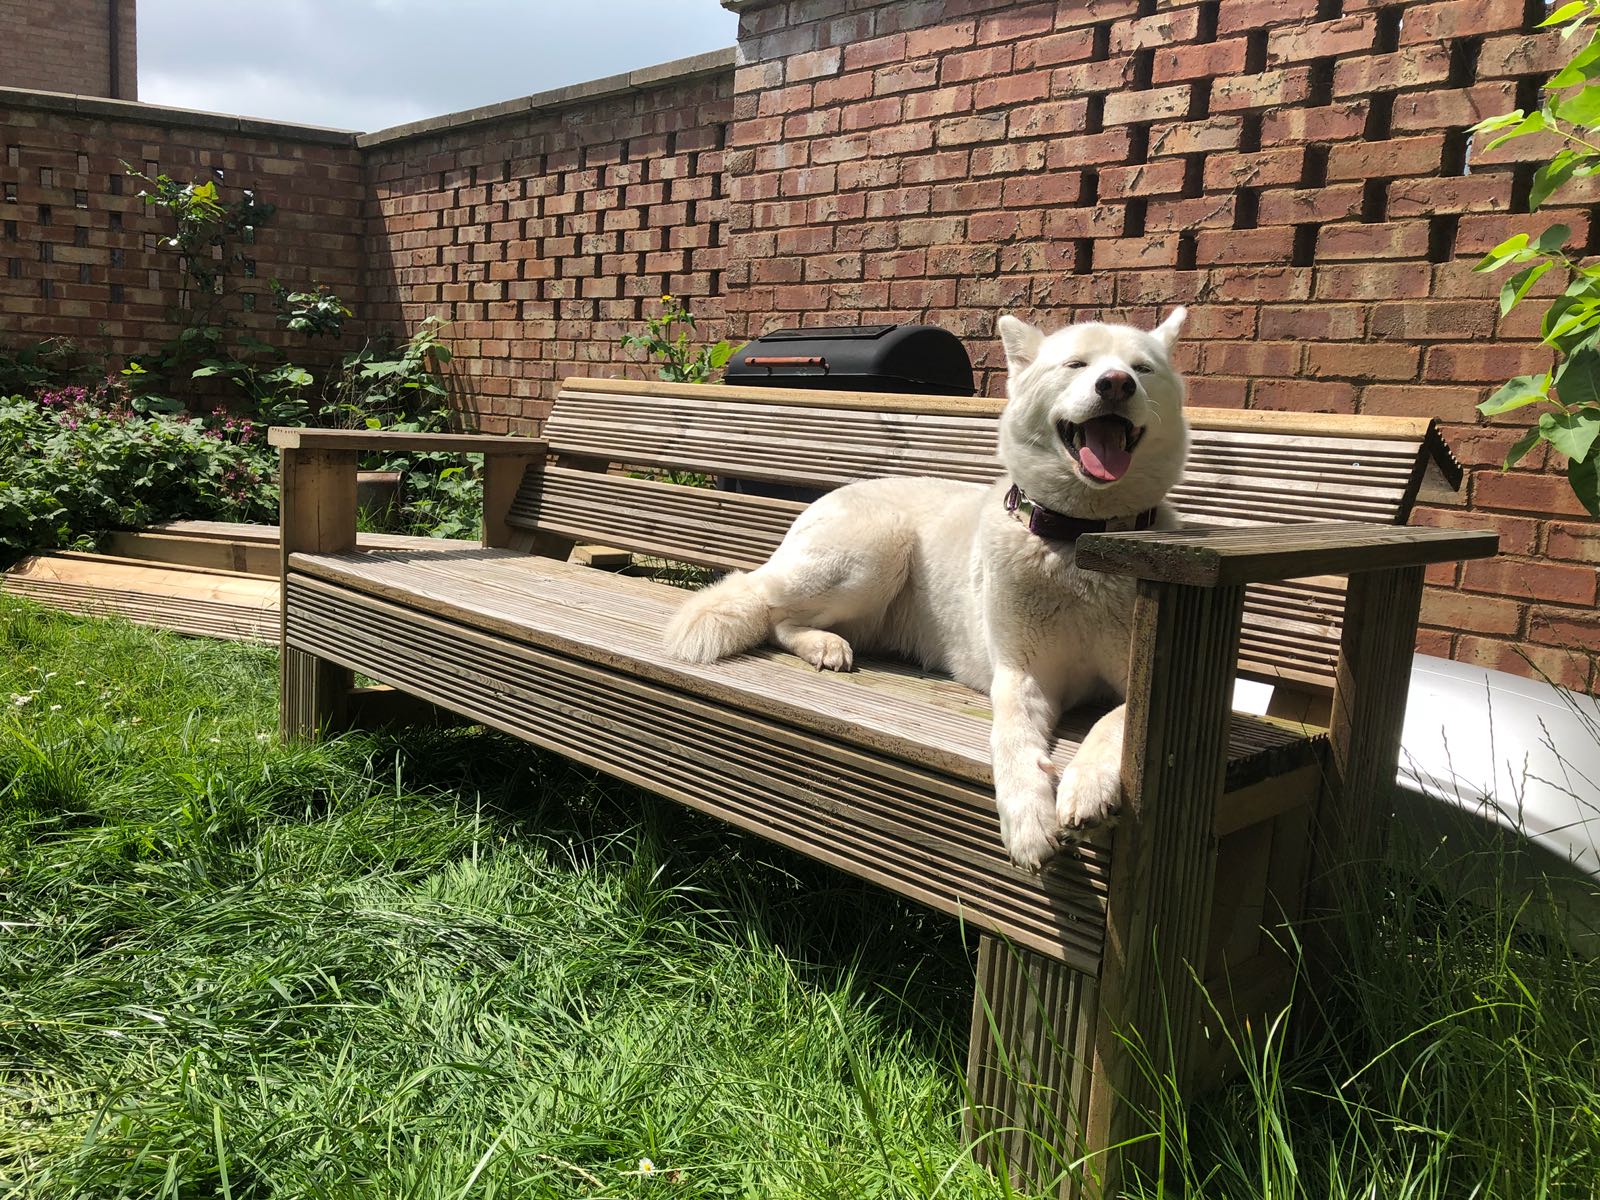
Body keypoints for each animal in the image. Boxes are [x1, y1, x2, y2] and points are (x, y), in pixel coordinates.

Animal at [662, 310, 1190, 870]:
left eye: (1142, 368)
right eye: (1076, 364)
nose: (1116, 384)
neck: (1080, 543)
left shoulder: (1136, 688)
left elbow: (1114, 720)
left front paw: (1086, 787)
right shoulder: (1020, 674)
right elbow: (1011, 740)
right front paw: (1028, 822)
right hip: (873, 549)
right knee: (771, 611)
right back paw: (823, 644)